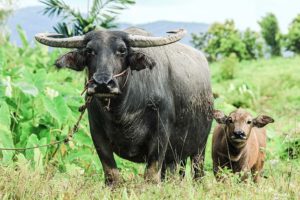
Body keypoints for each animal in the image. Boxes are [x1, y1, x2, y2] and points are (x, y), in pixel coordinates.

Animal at [35, 27, 213, 184]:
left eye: (122, 50)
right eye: (89, 51)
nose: (102, 84)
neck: (123, 112)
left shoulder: (161, 134)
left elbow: (150, 176)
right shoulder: (97, 134)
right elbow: (112, 175)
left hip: (200, 147)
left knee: (197, 173)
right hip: (177, 154)